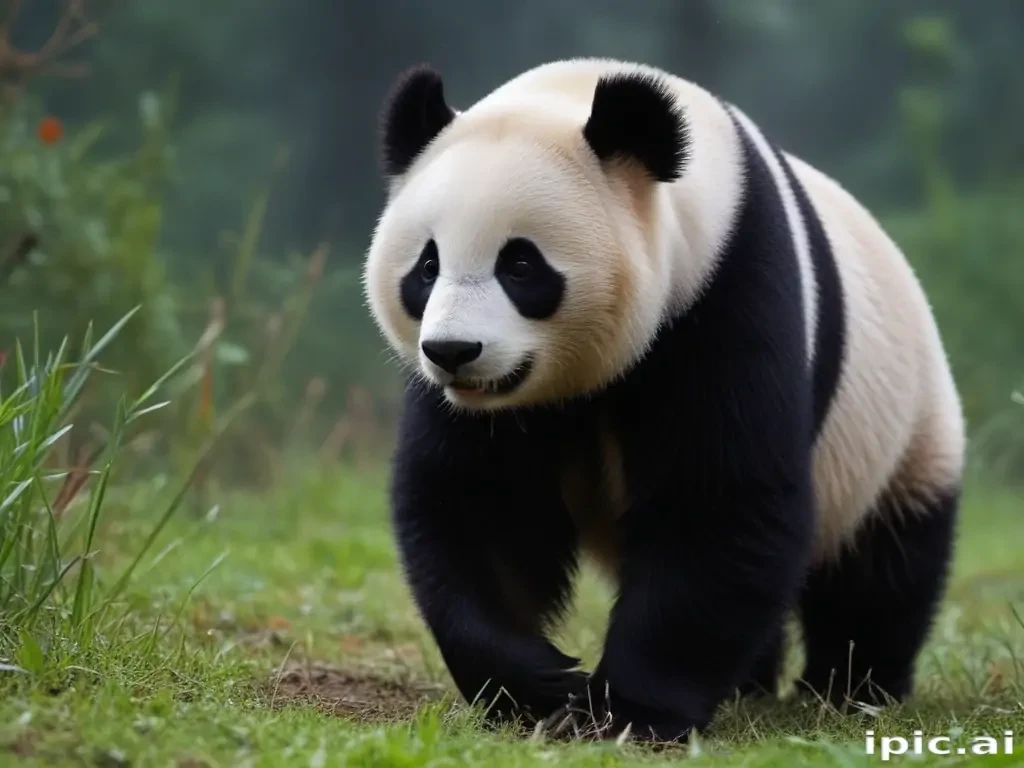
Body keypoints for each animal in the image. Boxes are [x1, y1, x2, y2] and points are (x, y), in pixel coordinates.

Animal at [363, 57, 965, 743]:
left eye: (520, 265)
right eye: (426, 267)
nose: (454, 351)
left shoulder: (727, 287)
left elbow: (719, 498)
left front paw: (628, 710)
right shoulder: (477, 410)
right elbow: (479, 504)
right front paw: (537, 686)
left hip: (901, 428)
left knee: (881, 567)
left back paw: (851, 688)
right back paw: (751, 683)